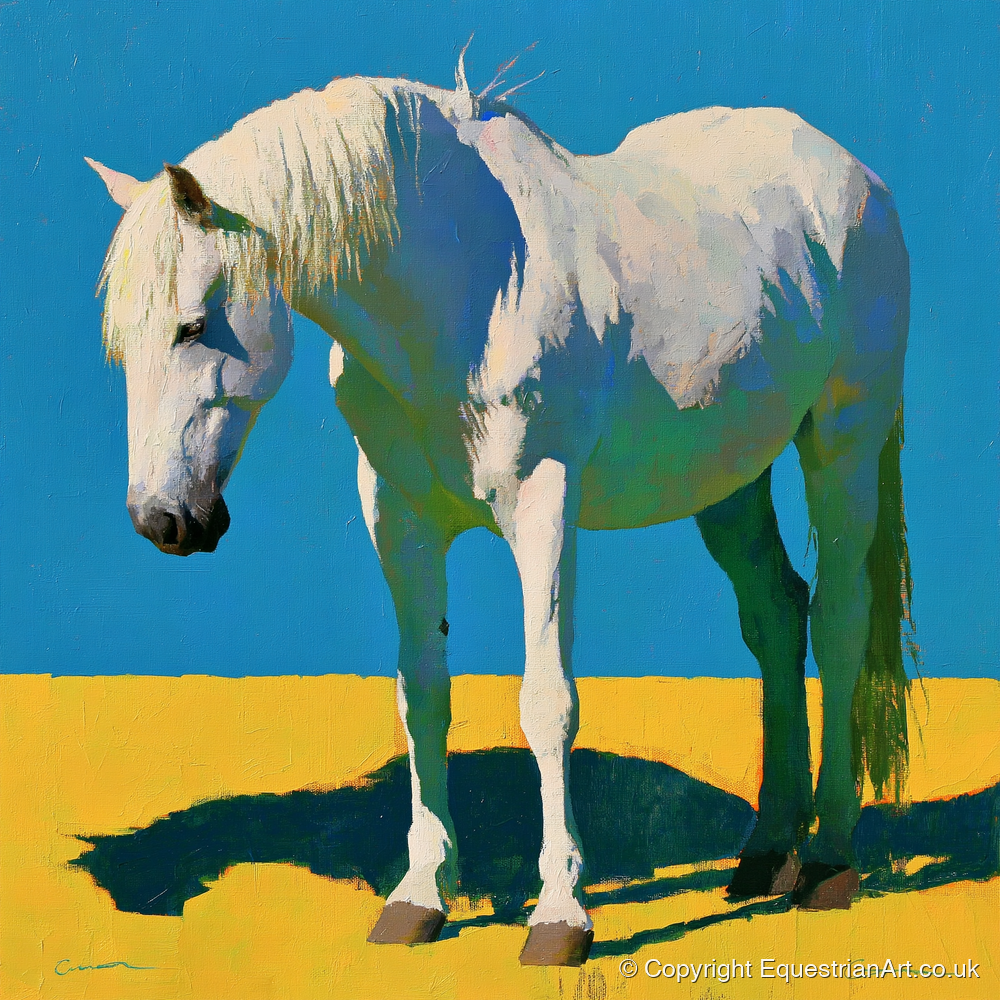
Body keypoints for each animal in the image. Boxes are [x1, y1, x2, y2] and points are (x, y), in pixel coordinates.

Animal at [87, 57, 915, 966]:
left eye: (194, 325)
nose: (163, 519)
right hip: (730, 478)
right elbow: (423, 696)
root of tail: (853, 175)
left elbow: (547, 702)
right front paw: (420, 897)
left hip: (843, 443)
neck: (465, 283)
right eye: (121, 347)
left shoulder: (545, 506)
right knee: (776, 616)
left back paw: (829, 857)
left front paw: (560, 915)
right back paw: (767, 849)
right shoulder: (399, 517)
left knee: (837, 621)